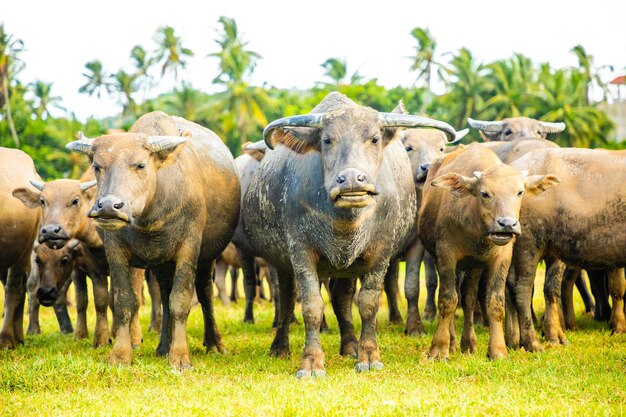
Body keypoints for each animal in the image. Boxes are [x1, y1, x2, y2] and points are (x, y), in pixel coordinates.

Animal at [64, 111, 238, 368]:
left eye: (141, 164)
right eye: (97, 166)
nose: (109, 206)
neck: (150, 217)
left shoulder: (189, 249)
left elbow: (181, 301)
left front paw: (180, 357)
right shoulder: (116, 250)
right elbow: (125, 300)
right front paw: (120, 354)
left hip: (208, 257)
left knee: (205, 292)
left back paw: (214, 343)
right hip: (162, 264)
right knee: (164, 295)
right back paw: (163, 346)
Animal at [241, 92, 456, 376]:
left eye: (374, 139)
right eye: (327, 140)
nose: (352, 180)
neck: (346, 221)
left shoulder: (380, 253)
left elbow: (367, 303)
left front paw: (368, 356)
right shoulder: (300, 251)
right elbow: (311, 305)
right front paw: (311, 362)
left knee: (342, 298)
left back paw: (351, 345)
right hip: (282, 263)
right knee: (286, 299)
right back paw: (279, 347)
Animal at [416, 142, 560, 358]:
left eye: (520, 192)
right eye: (485, 193)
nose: (506, 224)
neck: (476, 230)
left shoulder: (501, 258)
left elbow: (495, 302)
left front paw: (498, 350)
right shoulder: (445, 255)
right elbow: (448, 299)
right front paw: (439, 348)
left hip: (475, 266)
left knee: (468, 297)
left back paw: (468, 343)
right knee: (454, 296)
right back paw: (452, 342)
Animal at [504, 148, 624, 350]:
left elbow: (617, 287)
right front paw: (618, 327)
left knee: (519, 284)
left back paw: (517, 339)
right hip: (529, 243)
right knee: (522, 287)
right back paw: (532, 342)